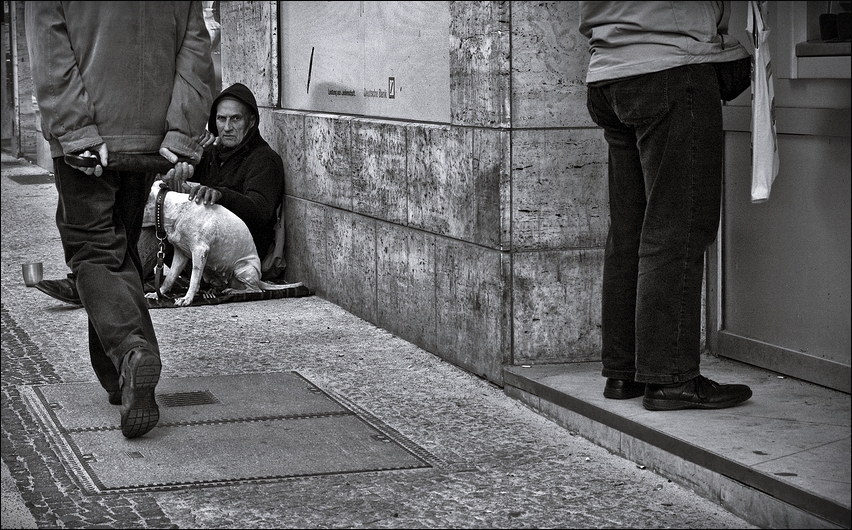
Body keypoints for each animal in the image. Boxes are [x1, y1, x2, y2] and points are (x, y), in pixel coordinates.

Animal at [141, 178, 300, 306]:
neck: (171, 211)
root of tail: (260, 278)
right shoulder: (181, 254)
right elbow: (170, 278)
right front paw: (158, 293)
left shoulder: (199, 251)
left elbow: (193, 279)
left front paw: (187, 298)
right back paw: (216, 289)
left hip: (242, 269)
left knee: (256, 290)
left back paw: (234, 291)